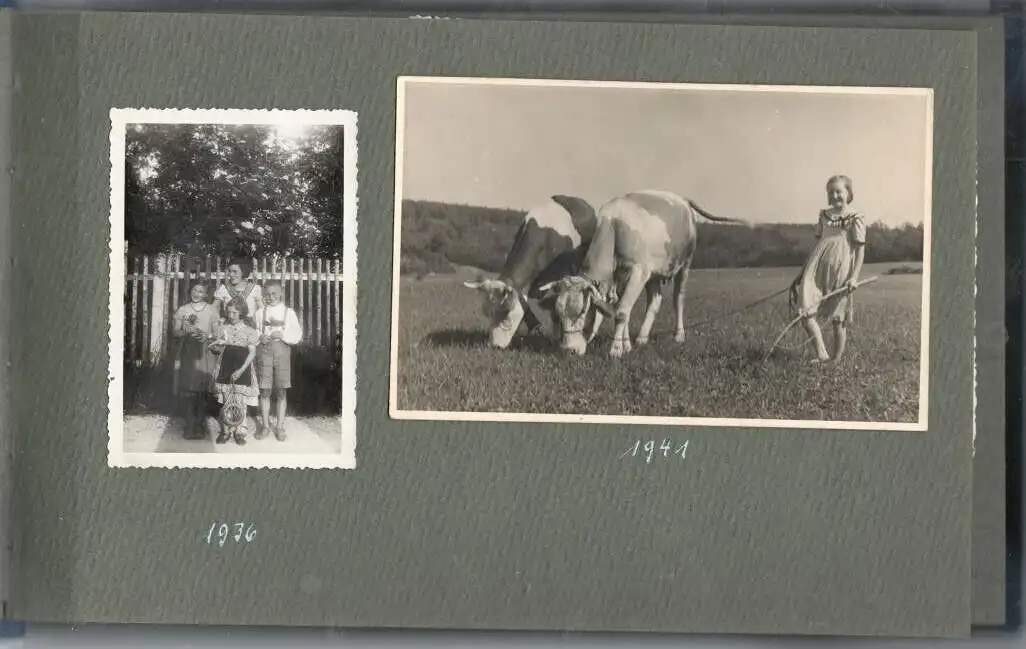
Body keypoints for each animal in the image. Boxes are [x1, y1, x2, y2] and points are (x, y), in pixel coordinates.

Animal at [541, 189, 751, 356]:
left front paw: (616, 349)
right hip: (654, 274)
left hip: (685, 263)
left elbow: (622, 312)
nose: (569, 350)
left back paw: (679, 335)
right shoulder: (621, 276)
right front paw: (626, 345)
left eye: (583, 312)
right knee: (655, 300)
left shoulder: (638, 272)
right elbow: (622, 308)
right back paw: (642, 338)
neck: (614, 226)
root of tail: (681, 199)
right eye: (558, 313)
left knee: (678, 299)